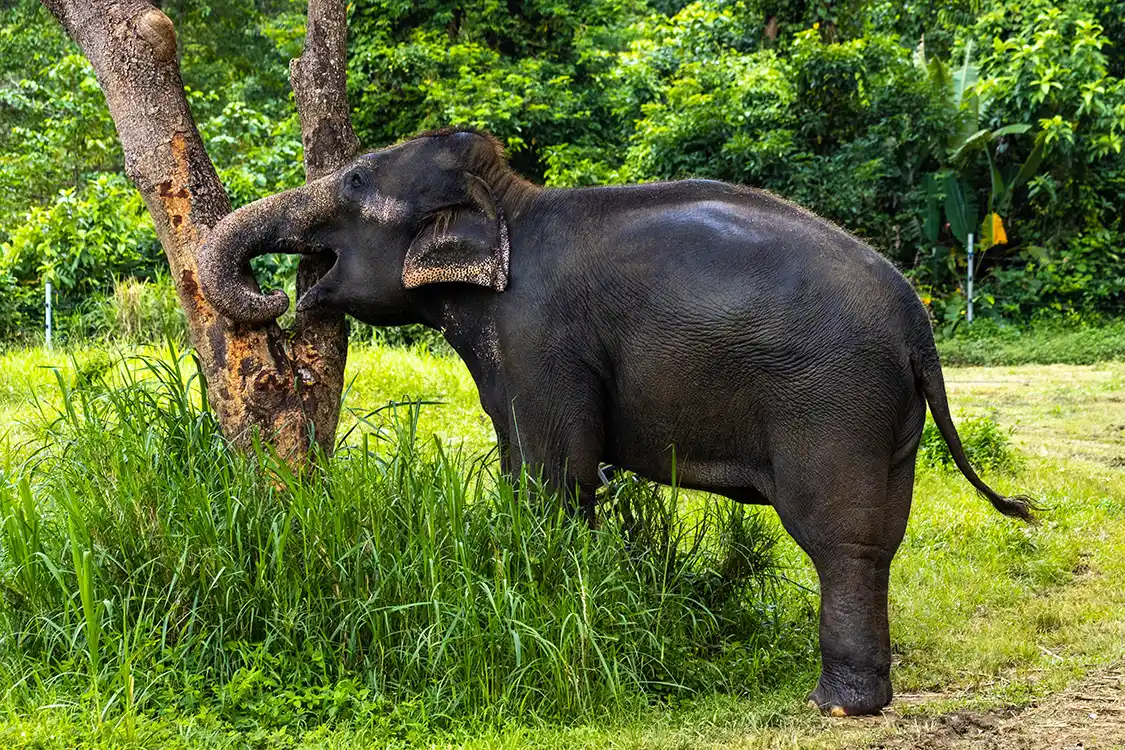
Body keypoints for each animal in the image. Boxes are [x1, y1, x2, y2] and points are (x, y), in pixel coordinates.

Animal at [198, 127, 1035, 717]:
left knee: (841, 536)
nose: (280, 298)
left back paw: (837, 707)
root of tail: (916, 322)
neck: (509, 204)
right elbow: (527, 465)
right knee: (882, 531)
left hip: (834, 397)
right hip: (889, 413)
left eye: (355, 180)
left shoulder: (540, 333)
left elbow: (556, 474)